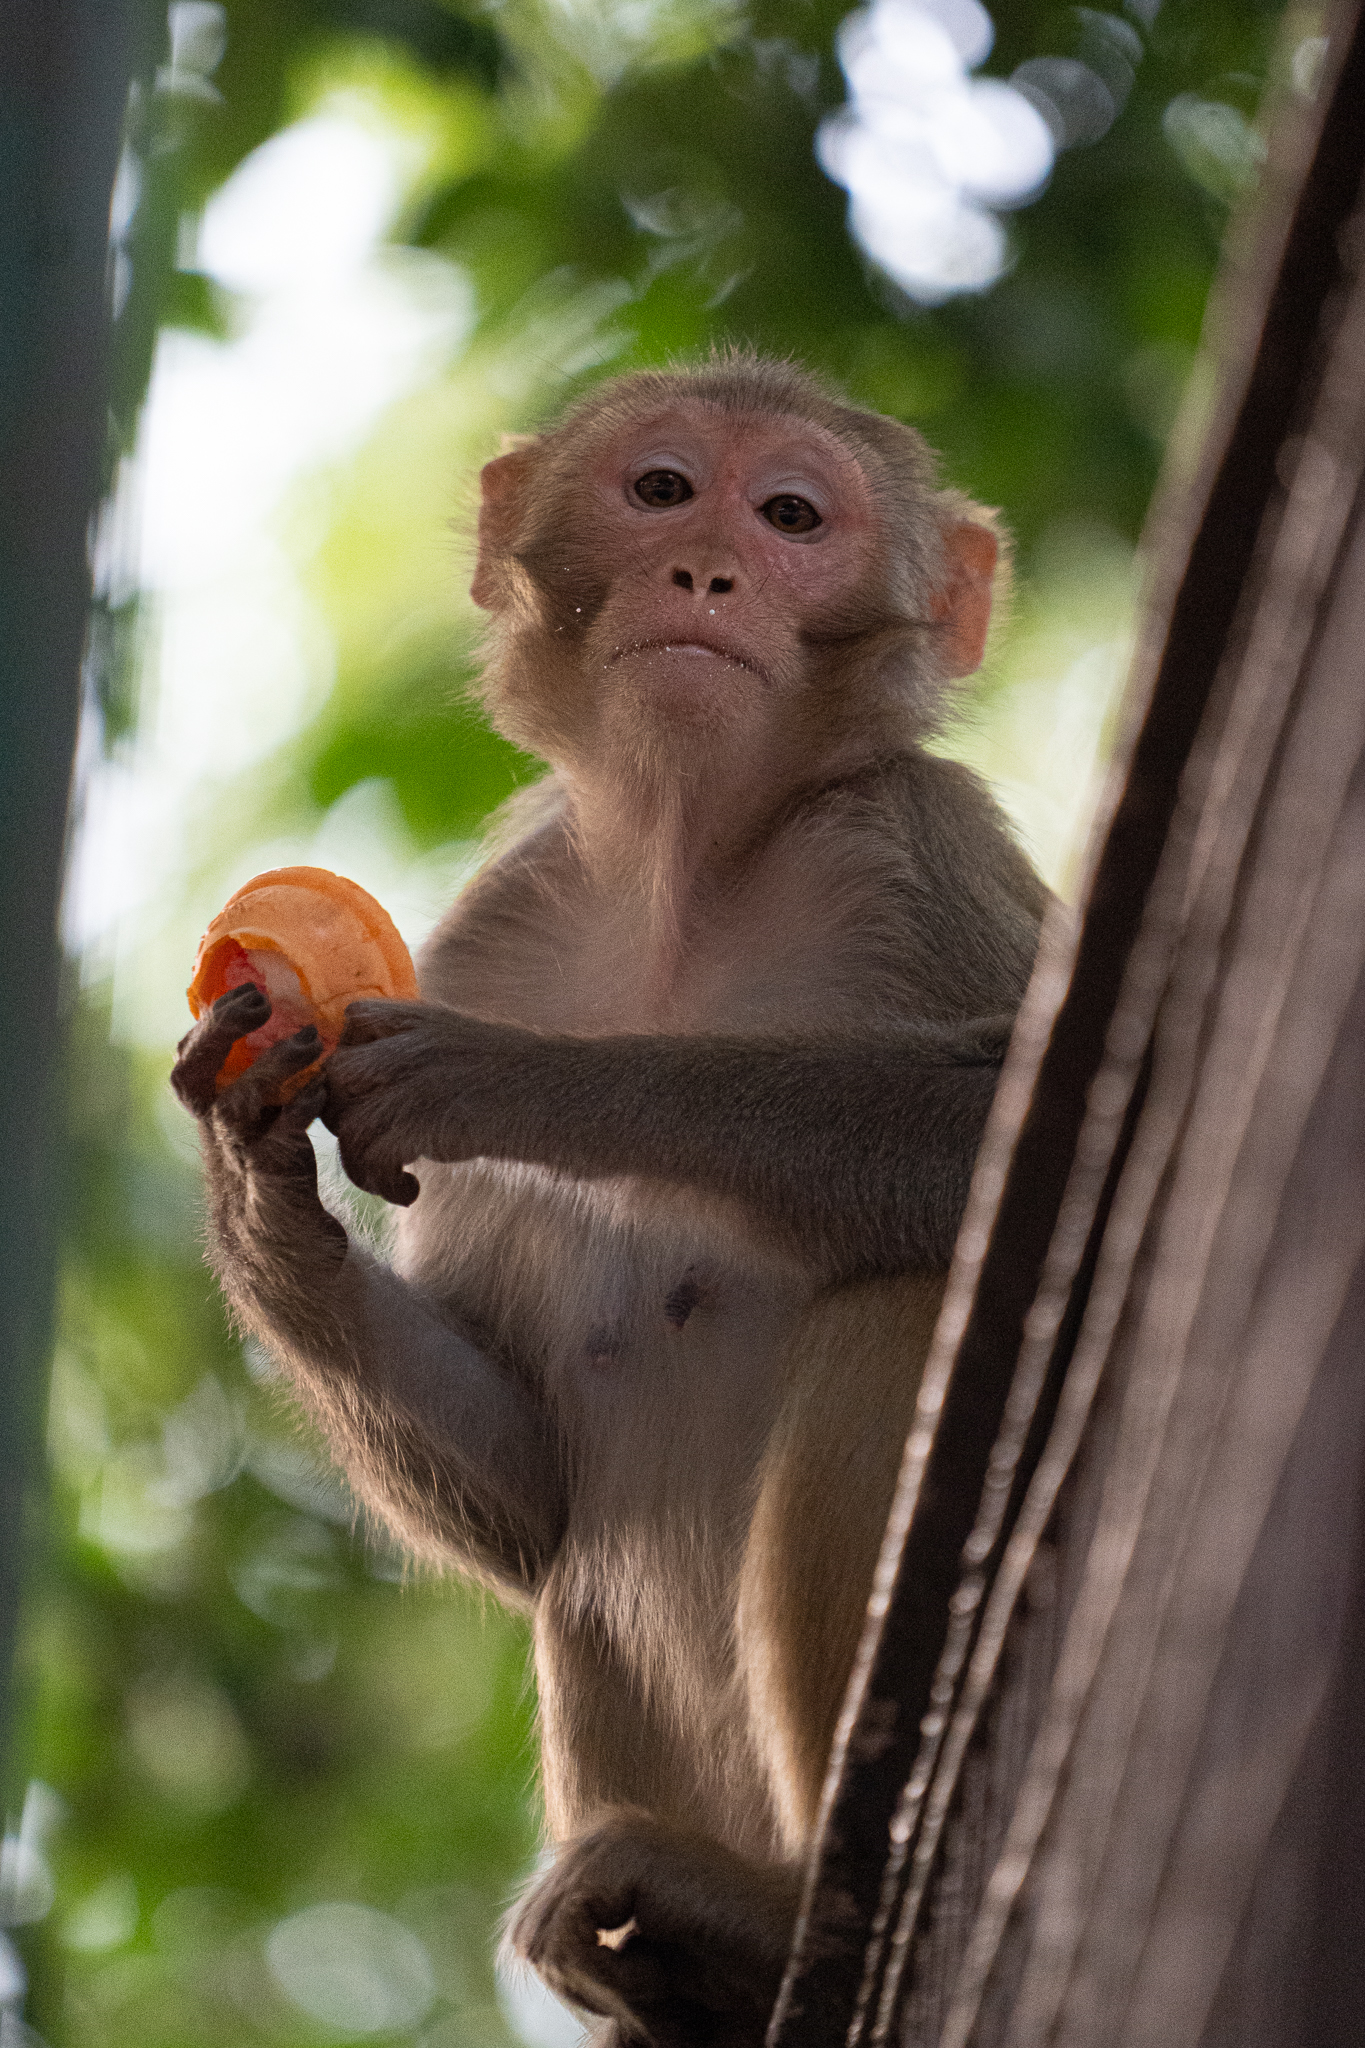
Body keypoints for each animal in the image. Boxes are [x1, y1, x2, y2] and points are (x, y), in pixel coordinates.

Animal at [172, 353, 1047, 2048]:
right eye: (661, 491)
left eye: (792, 517)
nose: (704, 570)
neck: (683, 883)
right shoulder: (498, 920)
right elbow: (533, 1496)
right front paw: (259, 1182)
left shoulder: (921, 842)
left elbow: (1024, 1115)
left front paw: (517, 1083)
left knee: (897, 1302)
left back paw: (768, 1918)